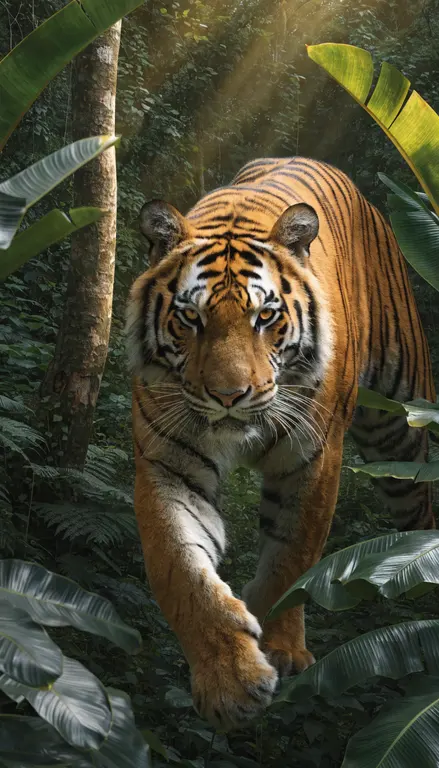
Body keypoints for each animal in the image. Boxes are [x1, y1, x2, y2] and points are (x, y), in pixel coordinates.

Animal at [125, 157, 435, 730]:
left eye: (265, 316)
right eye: (191, 318)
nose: (229, 395)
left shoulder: (313, 459)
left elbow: (295, 556)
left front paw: (285, 653)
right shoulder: (167, 461)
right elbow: (180, 569)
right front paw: (231, 681)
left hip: (400, 426)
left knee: (418, 507)